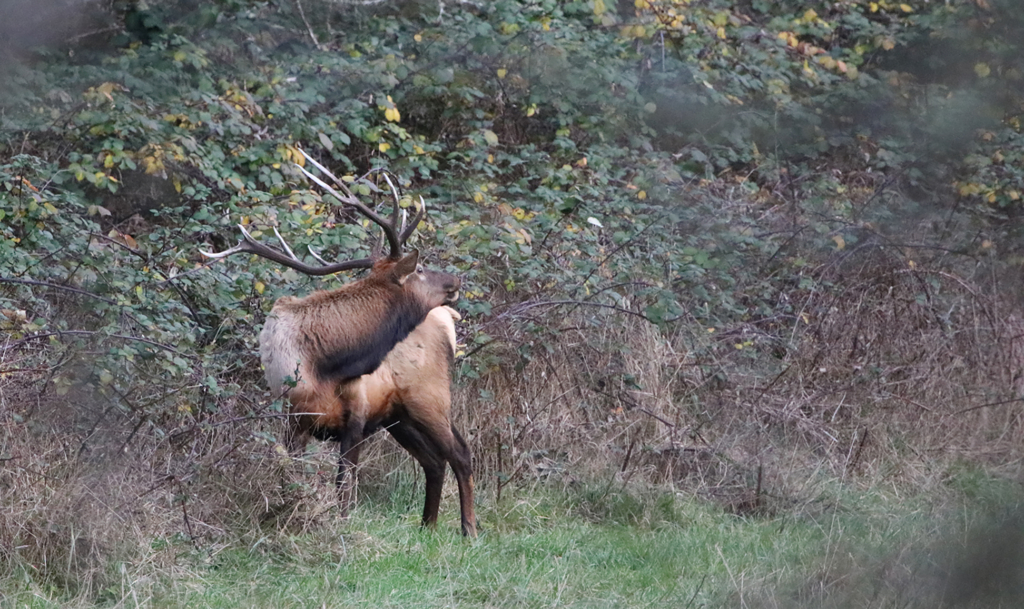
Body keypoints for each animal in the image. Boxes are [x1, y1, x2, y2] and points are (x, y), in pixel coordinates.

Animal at [202, 151, 477, 537]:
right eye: (420, 269)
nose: (456, 280)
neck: (326, 365)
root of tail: (446, 321)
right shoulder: (293, 420)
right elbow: (297, 479)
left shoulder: (357, 415)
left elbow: (345, 487)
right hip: (402, 414)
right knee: (439, 459)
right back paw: (431, 526)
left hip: (429, 397)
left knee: (459, 452)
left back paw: (468, 529)